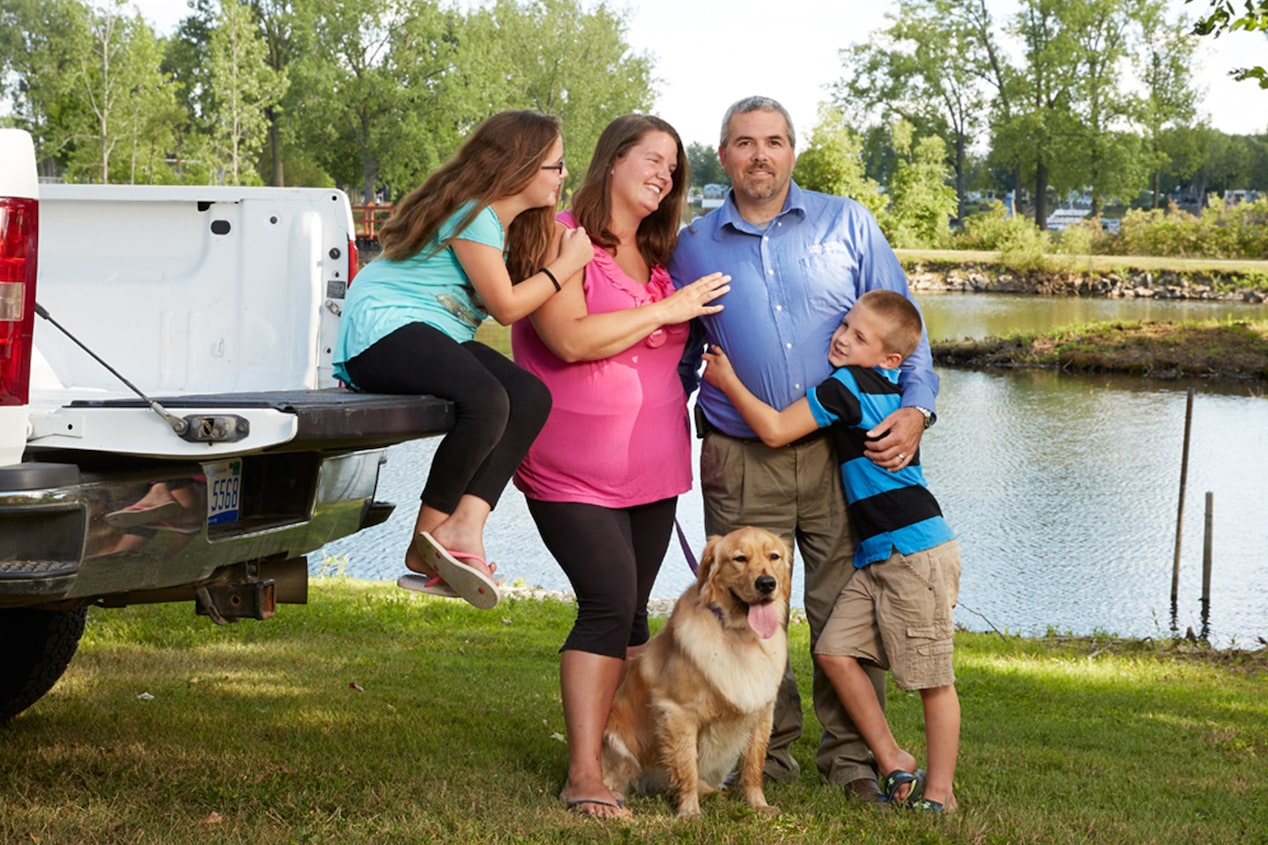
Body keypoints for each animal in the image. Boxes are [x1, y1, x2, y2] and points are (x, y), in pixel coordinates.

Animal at [598, 522, 786, 812]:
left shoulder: (762, 712)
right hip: (619, 742)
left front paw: (759, 805)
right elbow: (686, 765)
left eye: (773, 556)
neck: (739, 634)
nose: (766, 583)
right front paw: (689, 811)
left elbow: (753, 766)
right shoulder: (678, 712)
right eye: (740, 558)